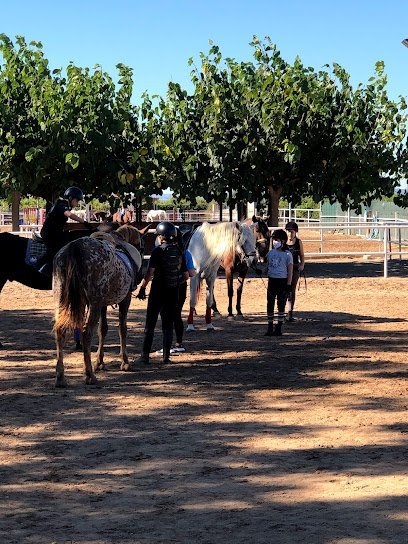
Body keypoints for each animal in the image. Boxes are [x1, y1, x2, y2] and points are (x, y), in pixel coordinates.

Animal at [53, 225, 143, 386]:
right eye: (141, 245)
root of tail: (75, 248)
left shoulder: (102, 305)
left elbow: (103, 329)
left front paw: (99, 362)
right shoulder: (124, 300)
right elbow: (122, 329)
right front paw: (125, 362)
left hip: (62, 300)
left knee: (60, 331)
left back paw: (61, 376)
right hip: (94, 303)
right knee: (86, 333)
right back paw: (90, 375)